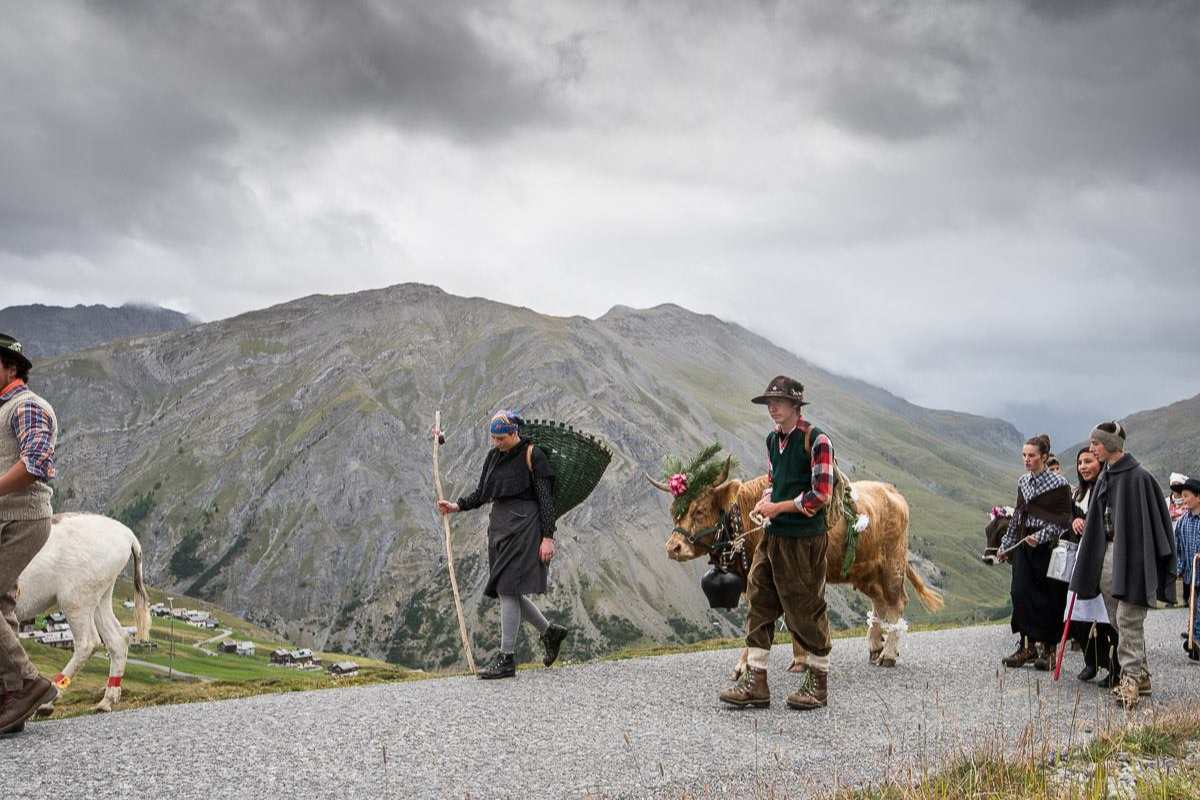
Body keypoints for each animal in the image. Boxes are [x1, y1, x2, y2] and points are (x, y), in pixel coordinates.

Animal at [14, 515, 152, 714]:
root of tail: (127, 535)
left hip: (75, 599)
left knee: (88, 643)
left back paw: (47, 702)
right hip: (100, 599)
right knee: (117, 640)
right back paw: (106, 701)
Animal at [652, 455, 940, 676]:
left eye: (699, 510)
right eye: (675, 511)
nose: (672, 547)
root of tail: (891, 491)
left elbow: (763, 618)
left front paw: (743, 666)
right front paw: (800, 661)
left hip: (892, 566)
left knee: (896, 603)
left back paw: (888, 654)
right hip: (866, 571)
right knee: (880, 603)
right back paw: (875, 648)